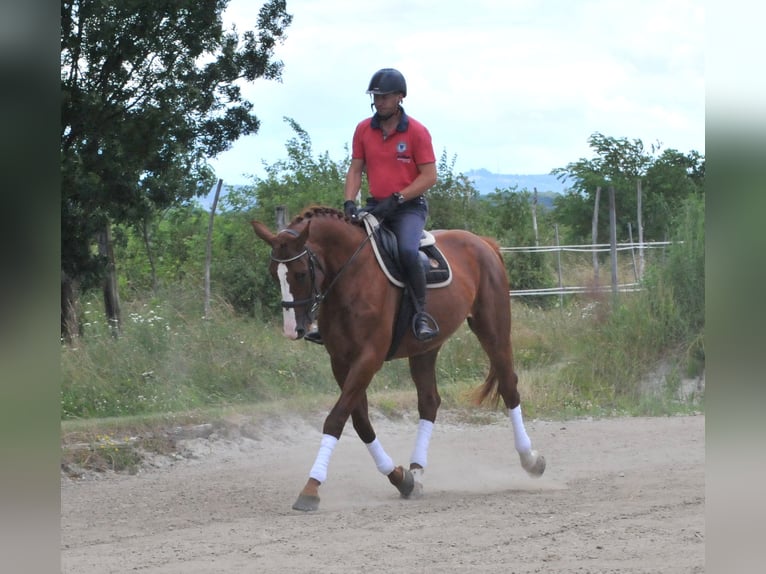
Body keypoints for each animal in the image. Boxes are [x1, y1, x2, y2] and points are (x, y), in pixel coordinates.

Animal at [252, 207, 544, 512]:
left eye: (299, 274)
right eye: (274, 274)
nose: (292, 330)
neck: (351, 275)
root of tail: (483, 243)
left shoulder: (368, 358)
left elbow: (335, 419)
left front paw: (311, 487)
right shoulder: (341, 362)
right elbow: (360, 422)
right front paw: (402, 479)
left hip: (493, 330)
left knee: (509, 386)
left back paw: (530, 459)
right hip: (425, 348)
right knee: (429, 402)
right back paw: (417, 470)